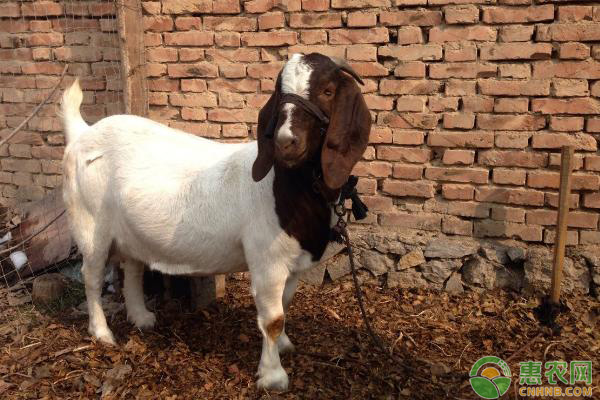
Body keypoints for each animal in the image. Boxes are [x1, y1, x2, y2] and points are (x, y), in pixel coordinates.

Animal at [59, 53, 370, 390]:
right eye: (280, 92)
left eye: (327, 91)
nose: (286, 142)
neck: (286, 185)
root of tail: (82, 133)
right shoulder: (267, 260)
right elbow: (273, 319)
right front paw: (273, 376)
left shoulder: (293, 263)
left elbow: (285, 306)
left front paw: (285, 346)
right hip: (90, 224)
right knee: (91, 277)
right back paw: (102, 333)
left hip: (130, 232)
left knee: (133, 268)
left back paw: (141, 317)